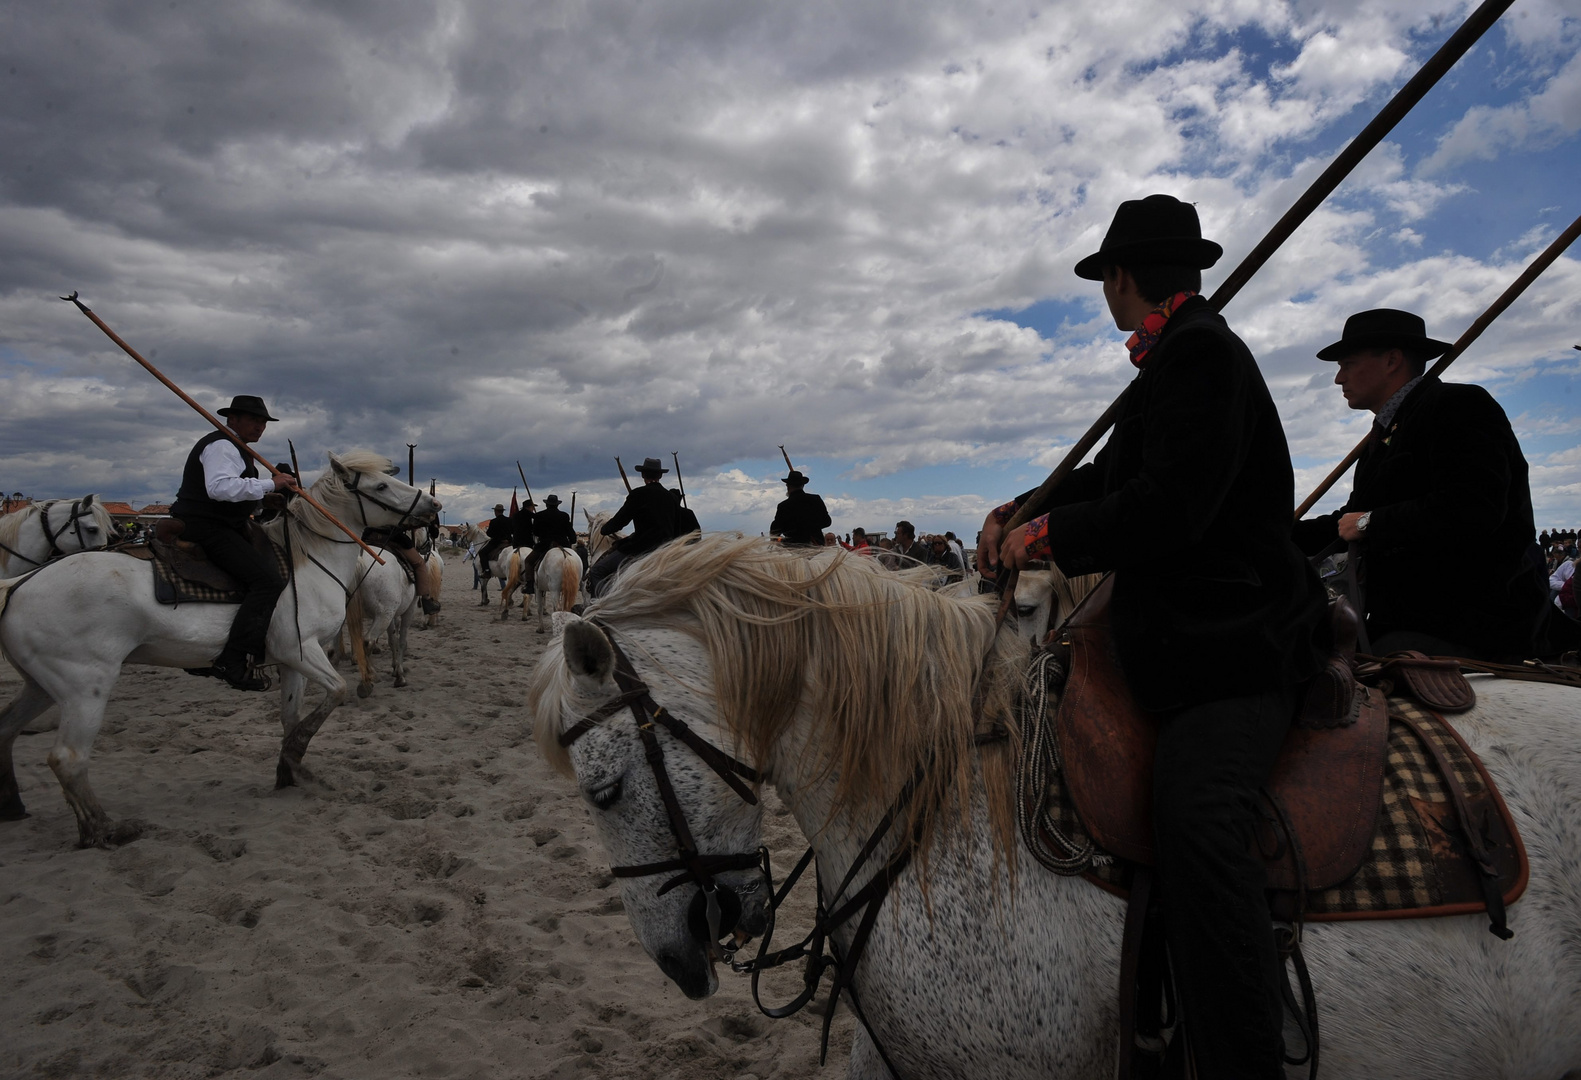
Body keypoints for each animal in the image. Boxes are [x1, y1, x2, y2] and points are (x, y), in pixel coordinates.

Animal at [0, 452, 439, 847]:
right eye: (380, 486)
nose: (434, 507)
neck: (310, 559)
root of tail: (19, 585)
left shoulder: (292, 662)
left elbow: (291, 717)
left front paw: (289, 769)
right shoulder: (299, 649)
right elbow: (338, 691)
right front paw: (296, 755)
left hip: (42, 685)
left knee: (8, 728)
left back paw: (15, 806)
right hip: (85, 686)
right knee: (68, 758)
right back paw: (103, 830)